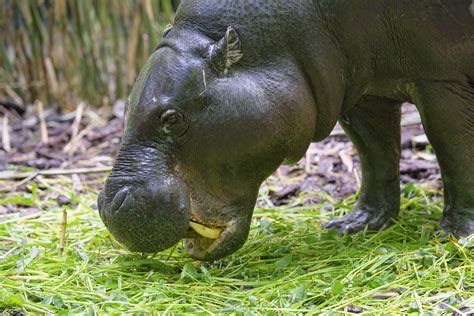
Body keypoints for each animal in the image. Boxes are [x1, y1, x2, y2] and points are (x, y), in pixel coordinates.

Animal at [97, 1, 474, 260]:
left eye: (172, 118)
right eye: (125, 106)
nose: (111, 205)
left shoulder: (441, 81)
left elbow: (455, 155)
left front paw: (456, 236)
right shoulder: (362, 90)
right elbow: (375, 156)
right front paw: (354, 225)